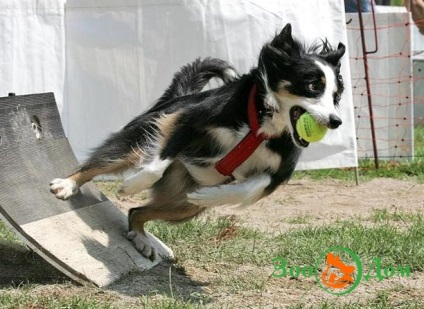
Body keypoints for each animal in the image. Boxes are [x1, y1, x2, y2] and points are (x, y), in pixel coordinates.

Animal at [51, 24, 346, 258]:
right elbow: (158, 163)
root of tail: (182, 95)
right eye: (313, 86)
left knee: (138, 211)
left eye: (336, 95)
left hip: (182, 207)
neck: (262, 126)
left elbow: (252, 187)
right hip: (139, 140)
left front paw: (210, 195)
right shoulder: (188, 121)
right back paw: (67, 185)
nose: (336, 122)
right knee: (99, 165)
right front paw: (131, 185)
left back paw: (143, 238)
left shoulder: (278, 172)